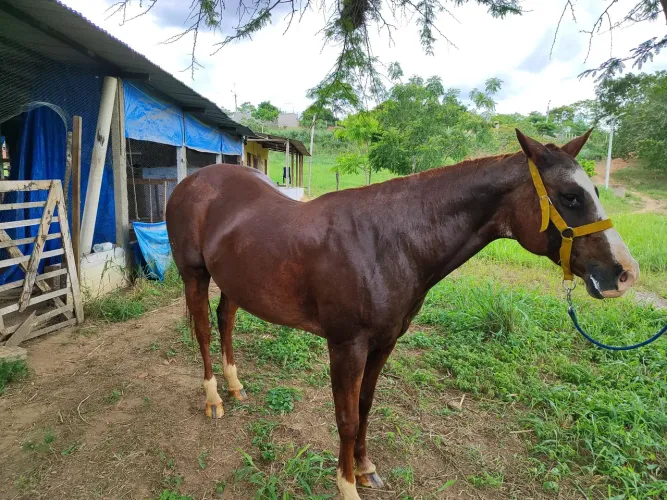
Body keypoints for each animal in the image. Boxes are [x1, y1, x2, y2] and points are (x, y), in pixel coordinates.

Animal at [165, 129, 639, 500]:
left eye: (595, 192)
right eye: (570, 197)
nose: (624, 273)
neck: (387, 241)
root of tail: (193, 182)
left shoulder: (385, 342)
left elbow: (365, 406)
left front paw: (364, 470)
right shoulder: (346, 346)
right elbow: (346, 417)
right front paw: (346, 486)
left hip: (235, 282)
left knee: (225, 320)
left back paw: (235, 386)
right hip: (195, 275)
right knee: (204, 329)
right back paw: (213, 398)